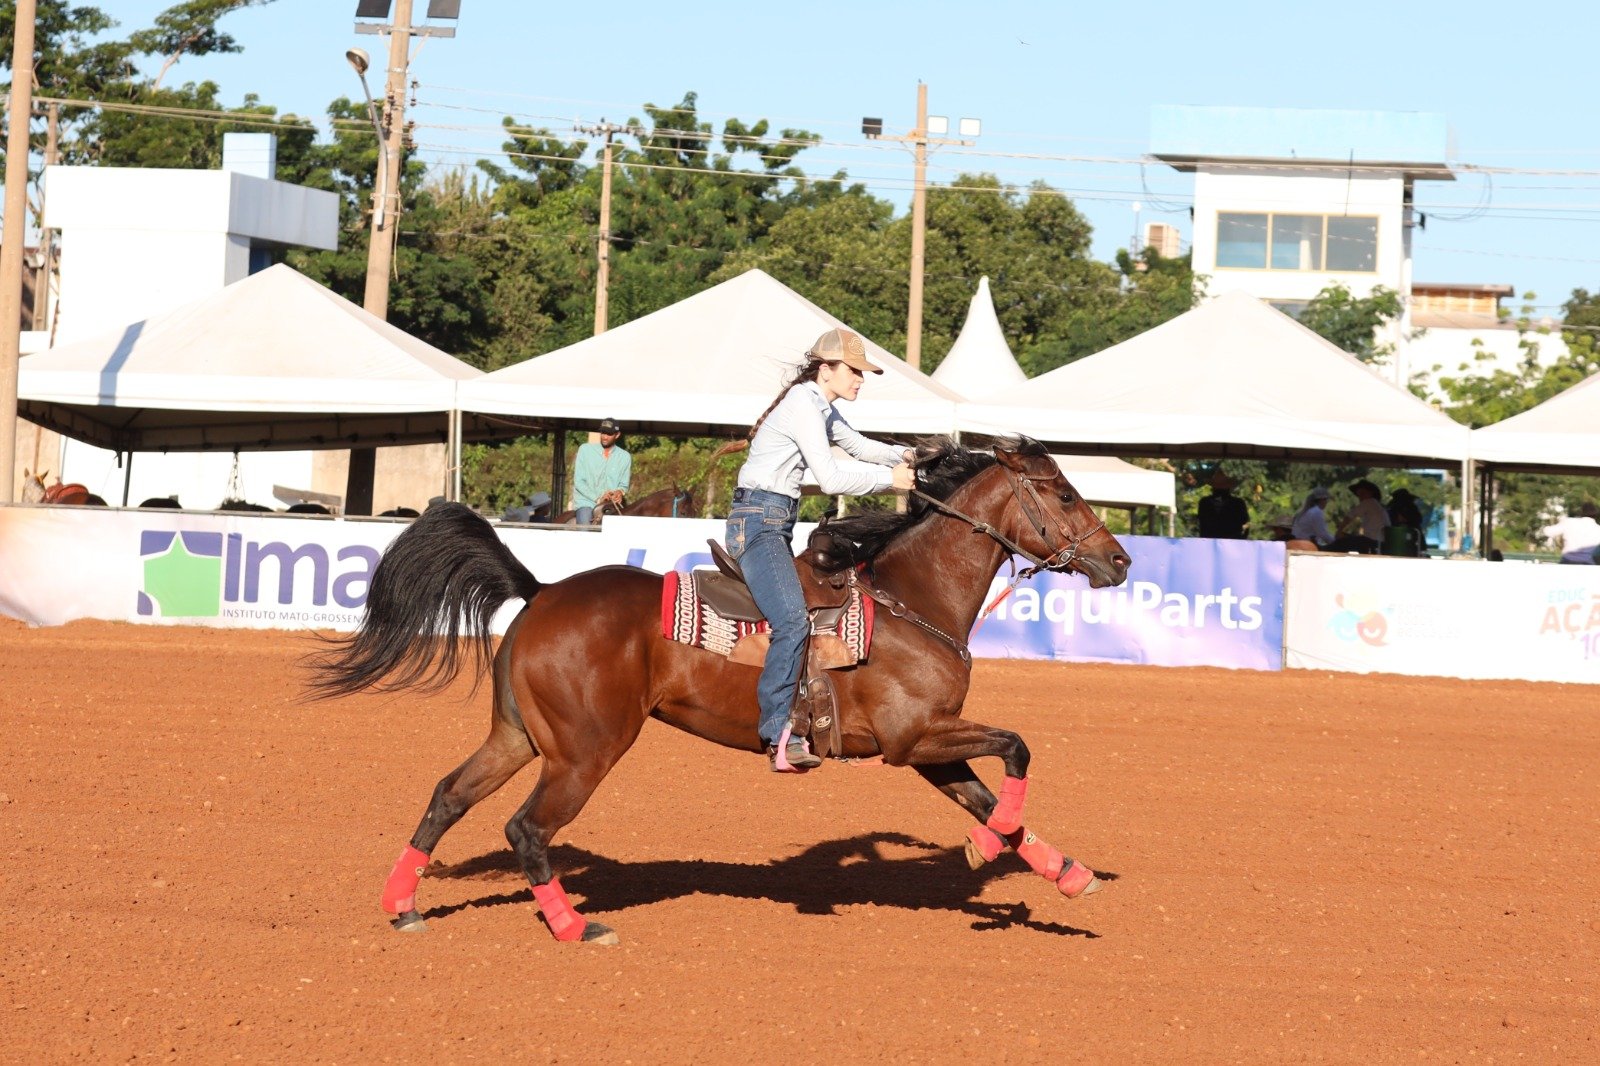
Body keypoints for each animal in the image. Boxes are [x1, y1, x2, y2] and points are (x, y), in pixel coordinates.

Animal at [308, 437, 1131, 944]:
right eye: (1062, 493)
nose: (1120, 561)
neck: (910, 599)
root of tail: (541, 592)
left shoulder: (930, 745)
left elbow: (997, 802)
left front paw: (1068, 874)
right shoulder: (910, 741)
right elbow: (1018, 750)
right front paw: (988, 851)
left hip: (517, 737)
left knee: (448, 795)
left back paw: (404, 906)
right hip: (584, 753)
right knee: (527, 830)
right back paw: (575, 927)